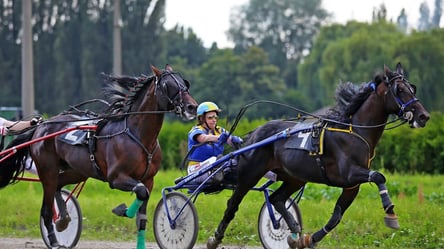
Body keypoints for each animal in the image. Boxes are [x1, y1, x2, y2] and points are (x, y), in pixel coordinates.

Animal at [0, 64, 198, 249]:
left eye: (184, 83)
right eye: (167, 85)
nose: (192, 107)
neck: (138, 135)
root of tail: (41, 127)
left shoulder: (148, 179)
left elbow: (142, 209)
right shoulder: (116, 178)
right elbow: (140, 191)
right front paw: (122, 209)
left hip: (77, 171)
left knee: (59, 185)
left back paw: (63, 219)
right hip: (48, 170)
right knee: (47, 208)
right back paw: (55, 239)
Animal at [207, 62, 430, 249]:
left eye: (413, 88)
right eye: (400, 90)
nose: (423, 116)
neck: (355, 130)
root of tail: (254, 134)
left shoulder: (351, 186)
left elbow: (336, 217)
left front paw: (308, 239)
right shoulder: (349, 174)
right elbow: (378, 176)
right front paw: (390, 212)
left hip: (294, 177)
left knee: (278, 199)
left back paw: (294, 233)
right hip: (250, 174)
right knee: (233, 204)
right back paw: (215, 238)